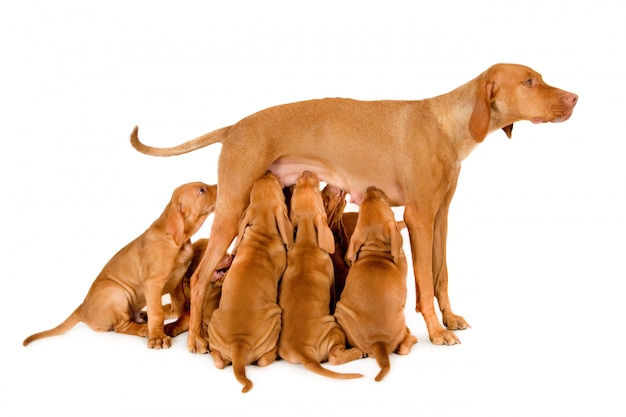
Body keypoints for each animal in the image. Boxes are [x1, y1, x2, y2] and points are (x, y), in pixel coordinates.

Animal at [22, 182, 217, 348]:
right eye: (201, 190)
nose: (219, 185)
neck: (179, 241)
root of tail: (82, 308)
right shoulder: (153, 284)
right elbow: (157, 313)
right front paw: (157, 337)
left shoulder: (176, 282)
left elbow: (180, 305)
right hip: (115, 293)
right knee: (121, 327)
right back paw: (144, 329)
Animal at [129, 62, 576, 348]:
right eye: (530, 81)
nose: (574, 97)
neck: (448, 123)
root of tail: (235, 127)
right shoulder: (418, 217)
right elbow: (425, 279)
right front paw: (436, 331)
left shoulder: (441, 217)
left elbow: (441, 275)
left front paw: (450, 318)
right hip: (230, 210)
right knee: (200, 277)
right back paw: (196, 340)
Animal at [206, 171, 292, 392]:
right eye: (276, 184)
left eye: (258, 185)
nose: (268, 172)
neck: (262, 231)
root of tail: (239, 345)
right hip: (276, 315)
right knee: (262, 360)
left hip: (215, 321)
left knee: (219, 362)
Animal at [276, 170, 360, 380]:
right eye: (319, 193)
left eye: (302, 185)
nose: (306, 172)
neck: (306, 241)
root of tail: (302, 351)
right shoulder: (332, 285)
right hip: (334, 329)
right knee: (334, 357)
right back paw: (357, 352)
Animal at [334, 187, 416, 382]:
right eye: (384, 203)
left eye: (365, 204)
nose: (371, 188)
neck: (375, 251)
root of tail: (379, 343)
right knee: (405, 344)